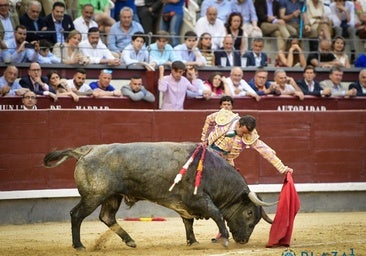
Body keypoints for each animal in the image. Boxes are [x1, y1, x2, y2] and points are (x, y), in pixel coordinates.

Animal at [43, 141, 274, 249]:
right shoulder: (200, 199)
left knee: (107, 217)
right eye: (249, 214)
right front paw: (224, 239)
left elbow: (188, 222)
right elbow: (217, 214)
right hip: (94, 195)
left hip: (112, 196)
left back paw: (130, 241)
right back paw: (79, 245)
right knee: (76, 215)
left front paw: (193, 242)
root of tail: (85, 151)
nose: (243, 241)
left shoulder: (186, 205)